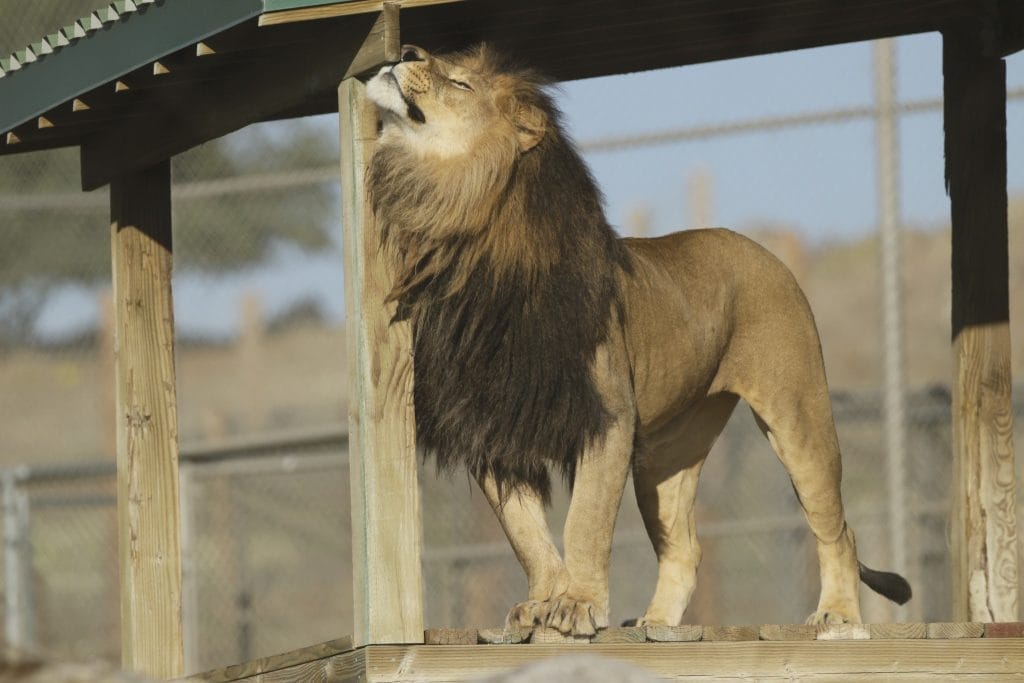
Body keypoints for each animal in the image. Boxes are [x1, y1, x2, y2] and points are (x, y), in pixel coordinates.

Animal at [364, 44, 911, 636]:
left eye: (461, 83)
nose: (405, 51)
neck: (460, 223)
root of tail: (759, 248)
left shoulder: (607, 415)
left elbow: (585, 520)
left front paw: (577, 603)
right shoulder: (493, 425)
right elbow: (525, 532)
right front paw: (543, 600)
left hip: (798, 414)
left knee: (838, 528)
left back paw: (837, 614)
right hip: (665, 455)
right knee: (685, 549)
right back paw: (655, 625)